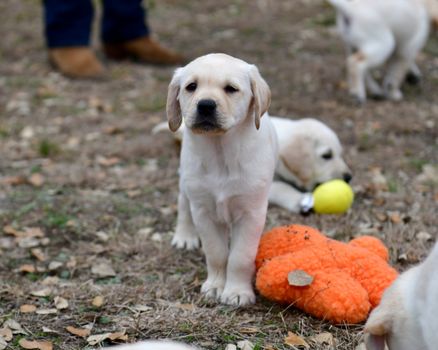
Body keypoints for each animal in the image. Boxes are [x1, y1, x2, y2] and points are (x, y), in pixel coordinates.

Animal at [167, 52, 278, 306]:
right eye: (191, 87)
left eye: (231, 89)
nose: (205, 105)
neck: (220, 151)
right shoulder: (203, 210)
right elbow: (216, 252)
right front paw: (216, 285)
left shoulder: (251, 214)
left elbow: (240, 256)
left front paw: (237, 292)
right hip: (185, 180)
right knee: (183, 204)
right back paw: (184, 236)